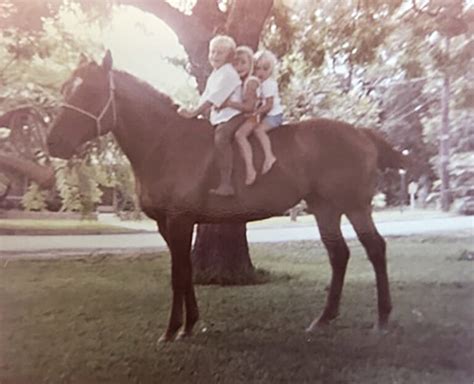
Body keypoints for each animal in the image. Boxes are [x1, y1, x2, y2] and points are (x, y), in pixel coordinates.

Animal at [48, 51, 404, 342]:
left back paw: (383, 318)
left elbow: (178, 274)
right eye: (65, 88)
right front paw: (190, 324)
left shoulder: (179, 221)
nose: (53, 142)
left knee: (375, 248)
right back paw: (323, 319)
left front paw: (172, 330)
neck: (165, 143)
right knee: (339, 255)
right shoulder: (168, 225)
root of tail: (362, 133)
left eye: (90, 91)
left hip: (355, 206)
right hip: (324, 208)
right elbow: (185, 272)